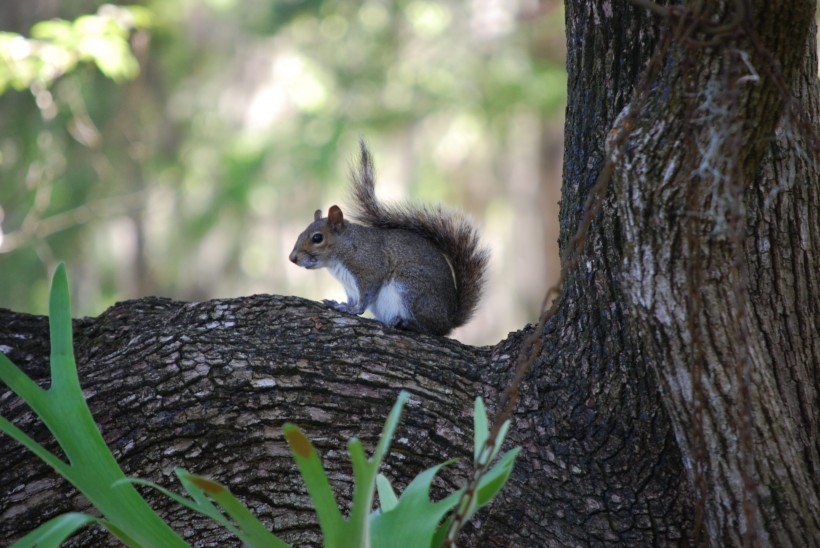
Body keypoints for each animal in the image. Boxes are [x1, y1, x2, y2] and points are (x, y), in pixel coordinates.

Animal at [288, 140, 486, 338]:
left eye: (317, 238)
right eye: (300, 234)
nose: (292, 258)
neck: (345, 249)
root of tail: (449, 319)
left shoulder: (370, 268)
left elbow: (365, 296)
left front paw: (353, 310)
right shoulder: (349, 286)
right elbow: (352, 298)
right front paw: (340, 304)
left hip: (411, 285)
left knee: (431, 329)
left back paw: (407, 323)